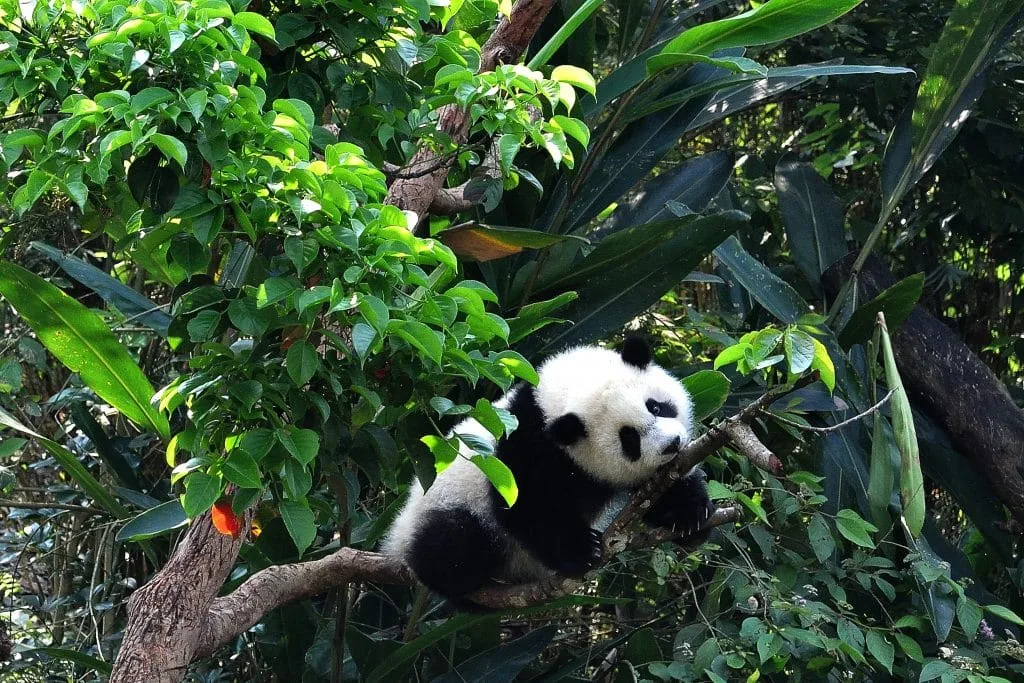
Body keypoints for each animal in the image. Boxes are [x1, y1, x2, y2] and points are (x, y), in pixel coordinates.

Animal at [381, 336, 715, 609]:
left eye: (656, 407)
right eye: (629, 438)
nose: (672, 444)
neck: (551, 400)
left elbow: (657, 489)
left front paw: (688, 515)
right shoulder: (525, 447)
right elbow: (526, 506)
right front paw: (581, 549)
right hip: (445, 506)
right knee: (450, 539)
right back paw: (456, 572)